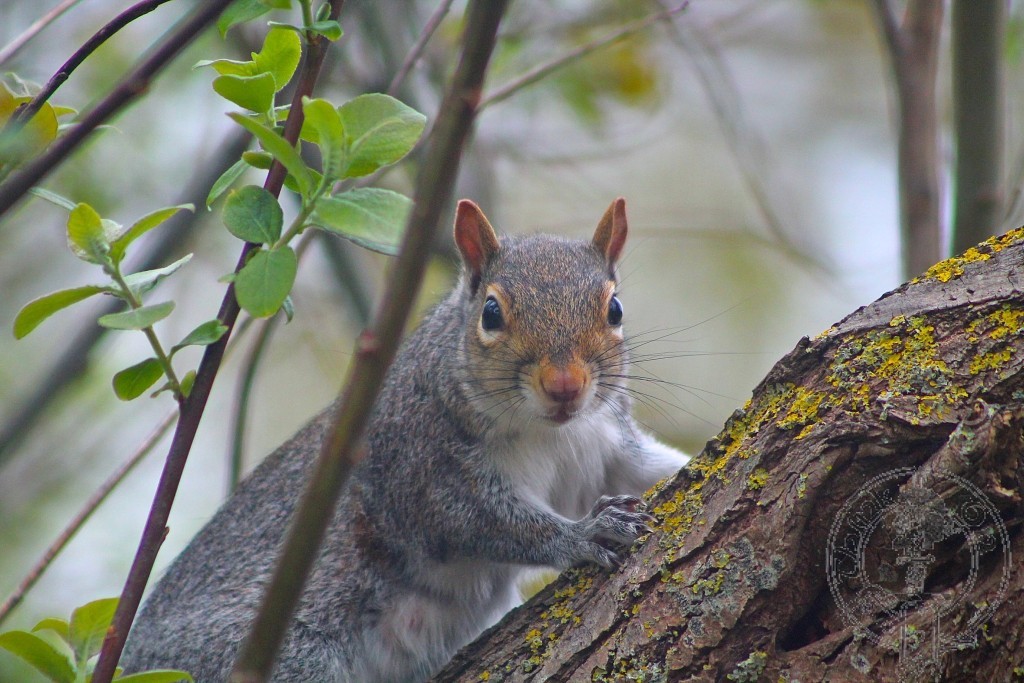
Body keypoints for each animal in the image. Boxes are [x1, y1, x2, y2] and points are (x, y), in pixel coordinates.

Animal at [120, 198, 689, 682]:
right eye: (491, 313)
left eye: (615, 311)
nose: (565, 386)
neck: (551, 433)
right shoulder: (418, 469)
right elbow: (487, 523)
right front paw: (584, 534)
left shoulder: (602, 446)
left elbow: (648, 469)